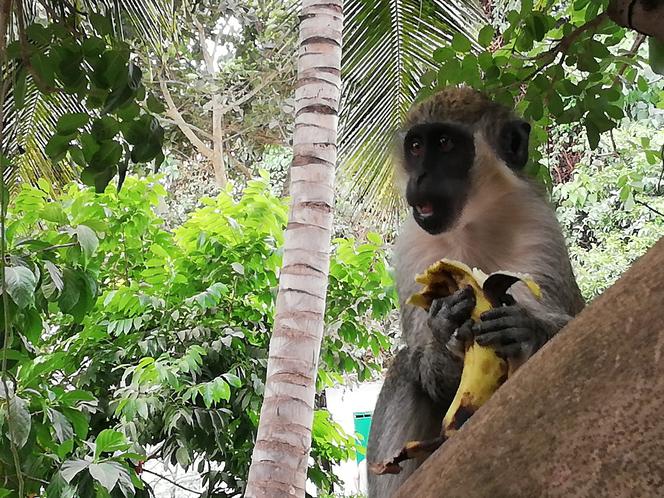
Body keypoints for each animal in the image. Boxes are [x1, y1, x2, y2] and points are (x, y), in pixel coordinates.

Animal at [366, 86, 584, 498]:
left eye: (445, 143)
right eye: (416, 146)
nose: (420, 176)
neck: (472, 224)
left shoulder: (538, 226)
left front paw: (526, 329)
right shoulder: (412, 248)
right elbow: (423, 355)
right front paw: (444, 334)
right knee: (405, 367)